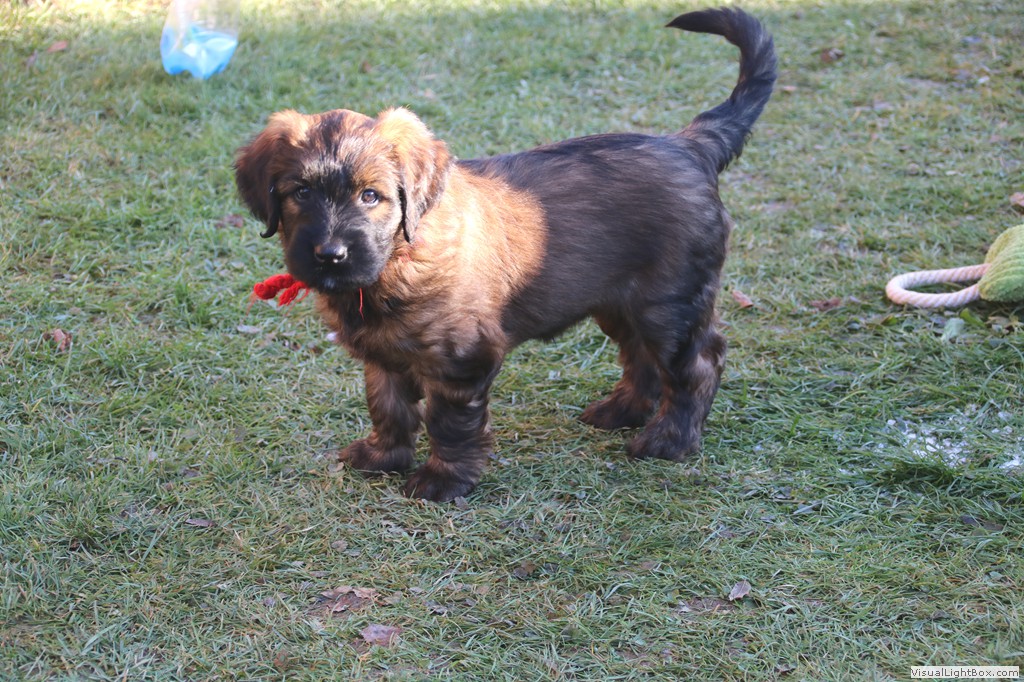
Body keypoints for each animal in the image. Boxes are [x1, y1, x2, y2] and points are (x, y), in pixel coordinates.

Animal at [235, 7, 777, 501]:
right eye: (301, 192)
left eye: (371, 196)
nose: (331, 253)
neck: (398, 260)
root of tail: (691, 146)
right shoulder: (383, 355)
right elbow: (386, 406)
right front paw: (382, 456)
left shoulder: (463, 357)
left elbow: (448, 421)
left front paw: (443, 480)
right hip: (620, 301)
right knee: (641, 356)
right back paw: (620, 412)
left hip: (670, 303)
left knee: (698, 363)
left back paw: (669, 441)